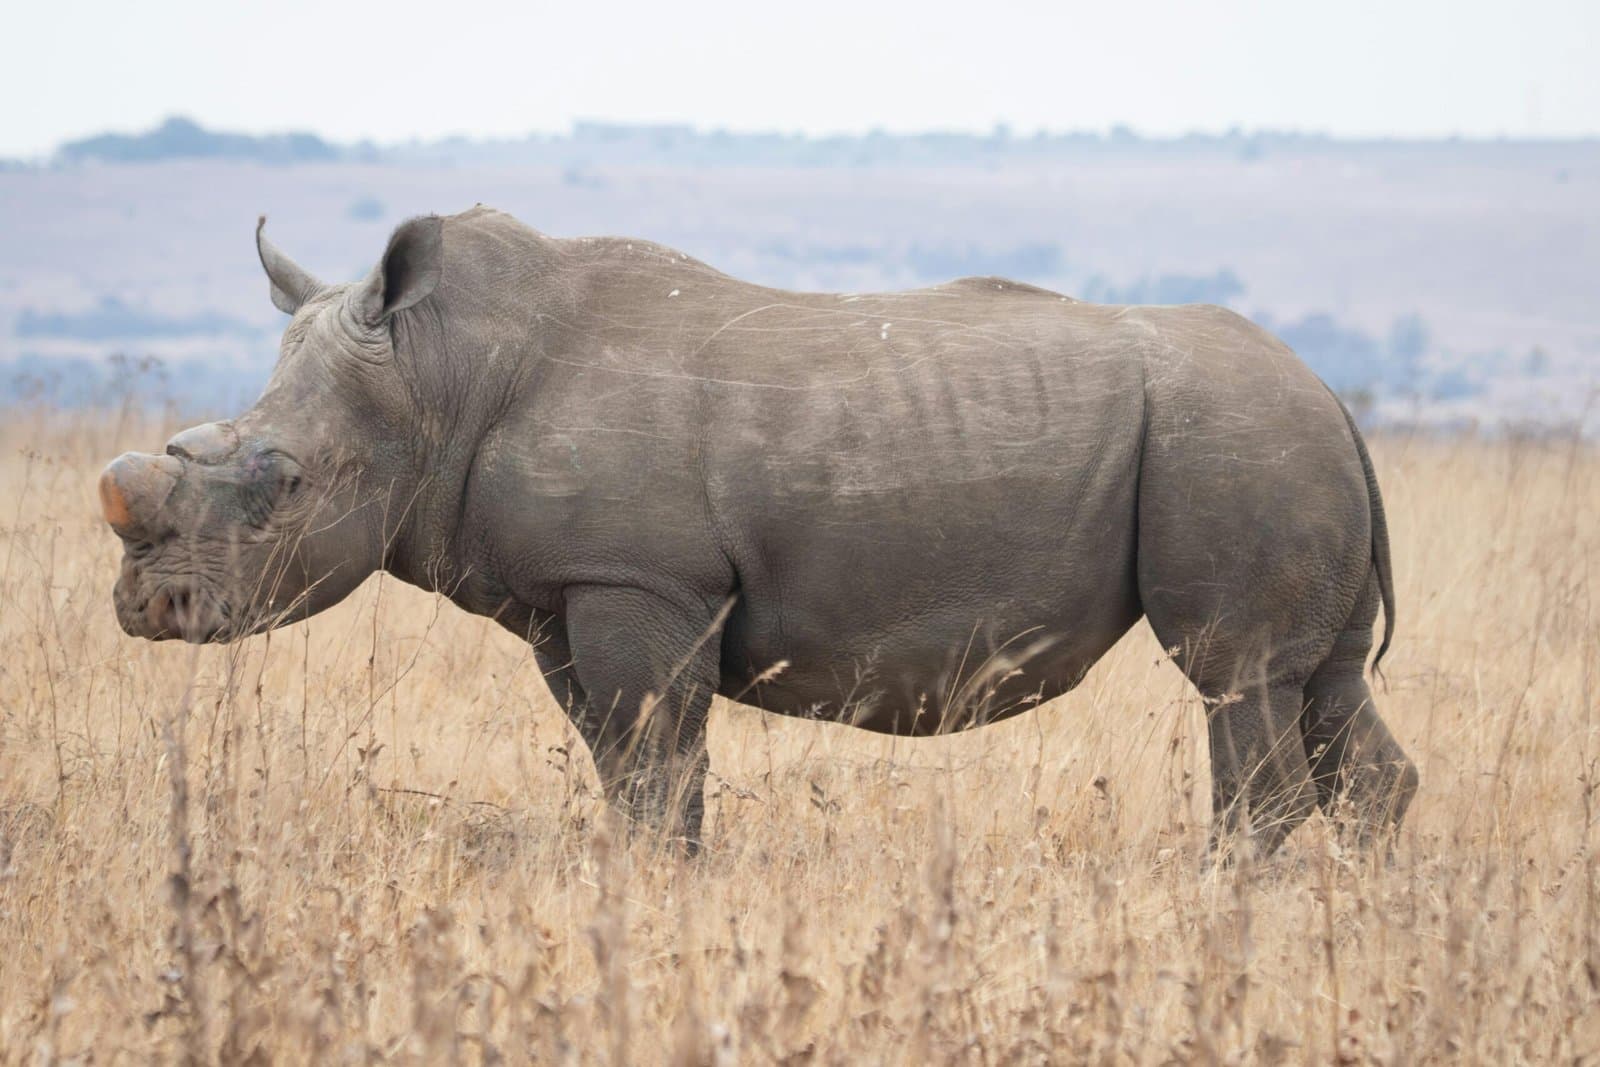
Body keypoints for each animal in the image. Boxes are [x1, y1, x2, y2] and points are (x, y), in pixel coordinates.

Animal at [101, 206, 1417, 858]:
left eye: (277, 479)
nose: (146, 607)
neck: (436, 375)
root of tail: (1337, 399)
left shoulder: (638, 579)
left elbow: (653, 755)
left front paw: (653, 888)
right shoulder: (569, 592)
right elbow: (630, 761)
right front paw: (647, 879)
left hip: (1231, 438)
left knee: (1235, 679)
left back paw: (1231, 900)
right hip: (1271, 438)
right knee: (1323, 688)